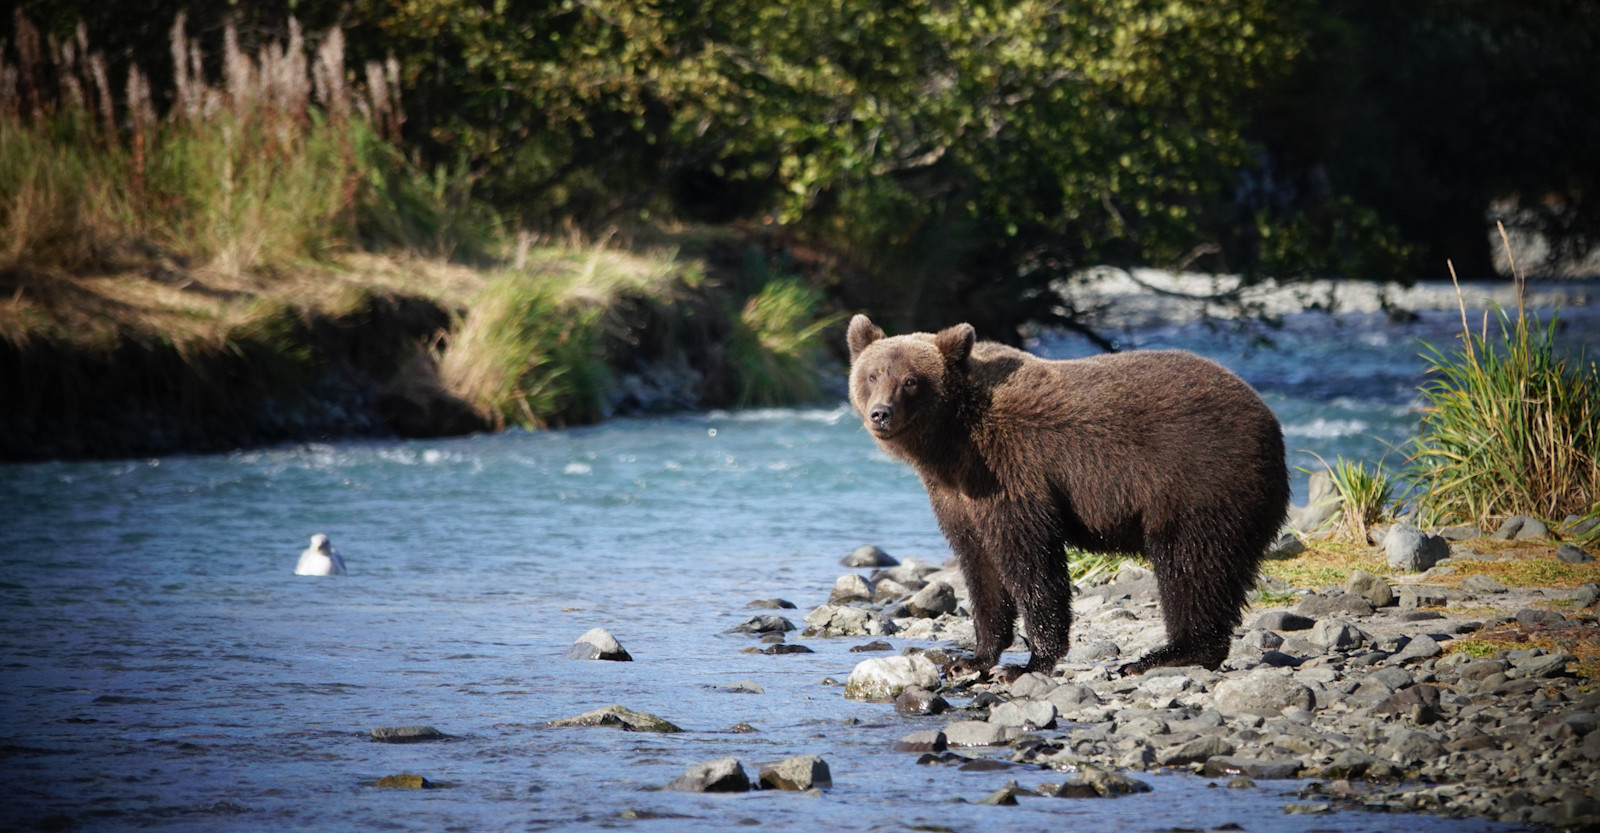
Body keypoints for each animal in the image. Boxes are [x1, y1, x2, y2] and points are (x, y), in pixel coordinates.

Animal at [851, 313, 1286, 674]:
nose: (881, 413)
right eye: (872, 375)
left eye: (910, 380)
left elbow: (1032, 562)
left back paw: (1164, 655)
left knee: (1189, 565)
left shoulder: (1012, 469)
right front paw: (972, 658)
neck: (951, 441)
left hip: (1199, 480)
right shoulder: (956, 494)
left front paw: (1031, 661)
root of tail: (1270, 421)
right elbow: (980, 565)